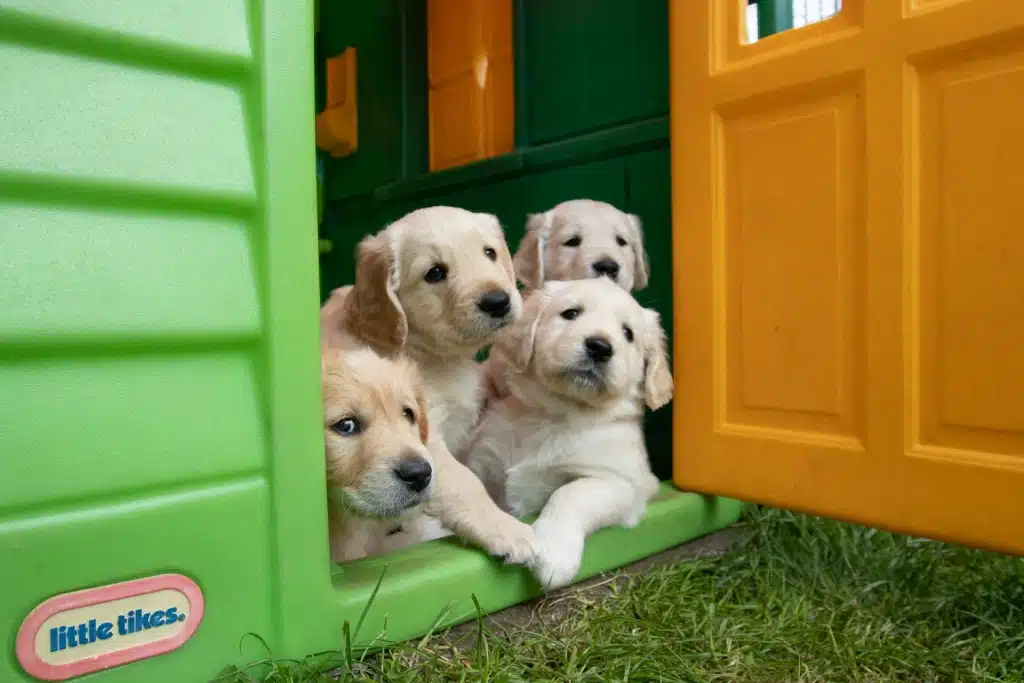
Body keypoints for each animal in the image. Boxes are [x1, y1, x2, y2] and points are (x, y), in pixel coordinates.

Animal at [462, 280, 671, 589]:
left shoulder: (622, 482)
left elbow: (569, 493)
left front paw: (553, 553)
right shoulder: (482, 461)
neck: (554, 414)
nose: (600, 347)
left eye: (628, 333)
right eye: (571, 313)